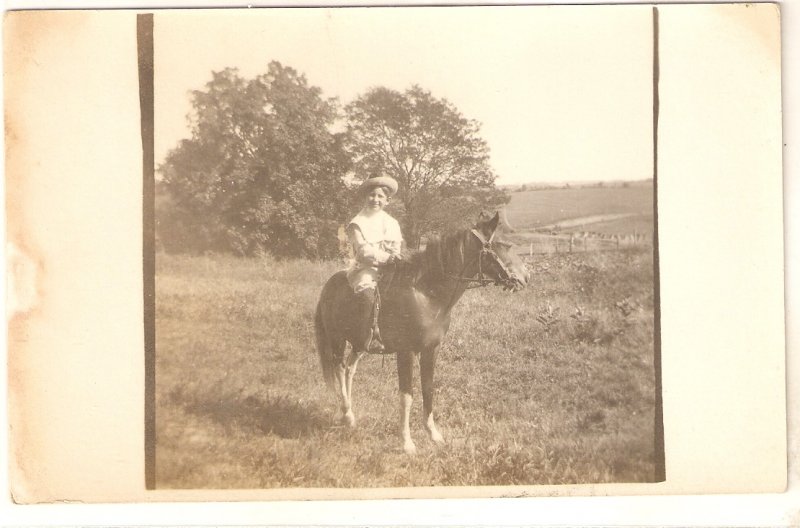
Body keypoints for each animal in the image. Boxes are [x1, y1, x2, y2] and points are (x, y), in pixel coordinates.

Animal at [316, 210, 528, 454]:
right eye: (504, 244)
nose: (525, 277)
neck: (427, 294)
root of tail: (330, 285)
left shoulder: (431, 350)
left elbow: (428, 389)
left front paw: (434, 435)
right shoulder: (405, 353)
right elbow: (406, 396)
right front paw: (407, 442)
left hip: (360, 344)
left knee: (350, 370)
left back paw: (350, 413)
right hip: (337, 340)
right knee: (339, 370)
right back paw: (346, 414)